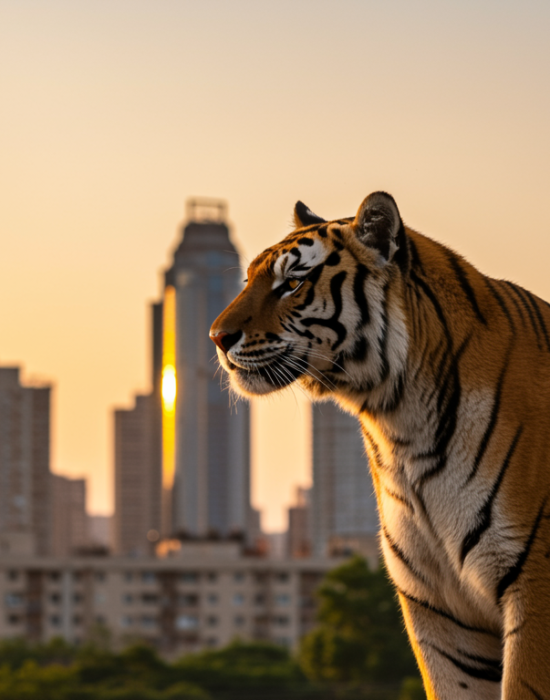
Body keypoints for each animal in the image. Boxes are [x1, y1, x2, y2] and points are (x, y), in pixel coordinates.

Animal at [209, 191, 550, 699]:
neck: (400, 427)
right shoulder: (439, 607)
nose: (217, 337)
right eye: (249, 278)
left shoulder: (534, 589)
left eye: (293, 283)